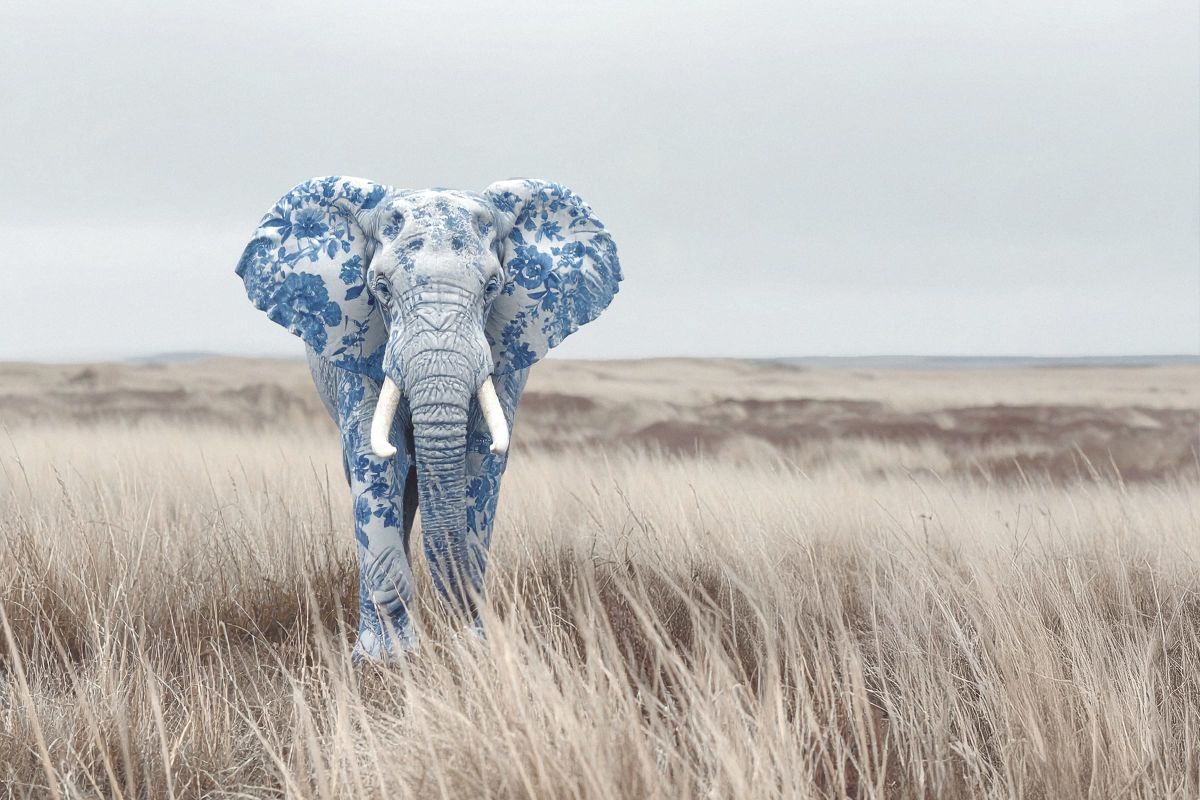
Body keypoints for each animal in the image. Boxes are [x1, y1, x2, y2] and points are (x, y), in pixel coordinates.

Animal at [235, 177, 621, 661]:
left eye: (493, 287)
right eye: (380, 288)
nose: (466, 635)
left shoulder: (505, 358)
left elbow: (481, 465)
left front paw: (476, 651)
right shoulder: (356, 350)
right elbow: (376, 465)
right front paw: (383, 661)